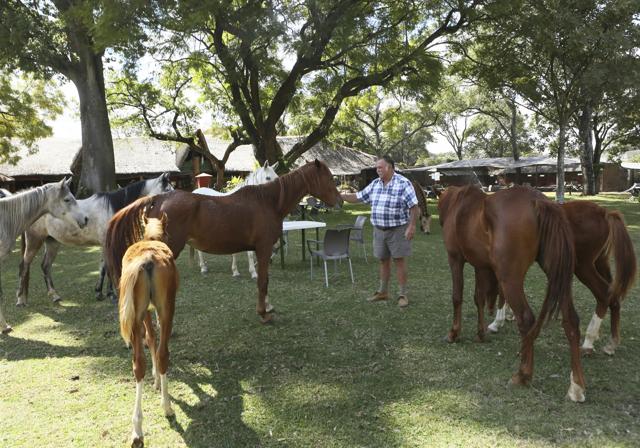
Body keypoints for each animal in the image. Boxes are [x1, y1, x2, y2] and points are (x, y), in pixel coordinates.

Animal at [16, 173, 173, 305]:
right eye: (167, 190)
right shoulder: (106, 243)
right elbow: (108, 267)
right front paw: (111, 295)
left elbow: (103, 267)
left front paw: (100, 292)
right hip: (34, 241)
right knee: (24, 265)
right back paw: (20, 300)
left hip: (52, 242)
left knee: (45, 266)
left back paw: (55, 296)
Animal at [106, 160, 342, 323]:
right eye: (329, 178)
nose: (340, 201)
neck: (268, 201)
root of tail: (159, 198)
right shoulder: (264, 249)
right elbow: (262, 281)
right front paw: (263, 313)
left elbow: (264, 279)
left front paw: (268, 306)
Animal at [118, 215, 178, 447]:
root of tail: (148, 259)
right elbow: (155, 340)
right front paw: (158, 382)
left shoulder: (143, 313)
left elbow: (150, 338)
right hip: (166, 309)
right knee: (163, 354)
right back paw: (167, 406)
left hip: (136, 315)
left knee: (138, 363)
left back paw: (137, 429)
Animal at [438, 184, 586, 402]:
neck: (459, 204)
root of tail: (538, 201)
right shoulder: (481, 266)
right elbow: (478, 298)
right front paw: (481, 333)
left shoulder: (455, 258)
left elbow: (457, 297)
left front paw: (454, 333)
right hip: (560, 277)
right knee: (571, 321)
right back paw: (576, 386)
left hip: (510, 280)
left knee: (526, 319)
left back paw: (523, 375)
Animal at [487, 200, 637, 356]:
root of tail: (605, 213)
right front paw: (508, 315)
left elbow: (502, 291)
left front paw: (497, 322)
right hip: (600, 262)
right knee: (614, 295)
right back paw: (611, 343)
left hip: (583, 267)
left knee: (604, 294)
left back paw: (588, 342)